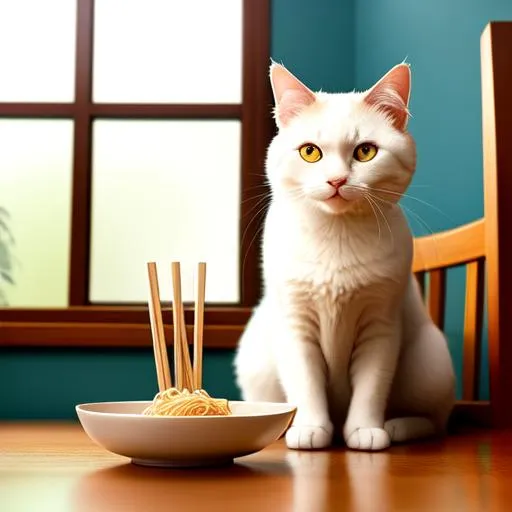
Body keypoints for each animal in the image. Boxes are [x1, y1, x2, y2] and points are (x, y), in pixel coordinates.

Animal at [234, 62, 454, 450]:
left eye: (366, 151)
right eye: (310, 152)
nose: (336, 180)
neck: (337, 237)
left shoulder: (380, 325)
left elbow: (371, 386)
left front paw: (366, 430)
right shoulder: (295, 324)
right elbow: (306, 385)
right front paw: (309, 428)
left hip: (430, 360)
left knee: (435, 420)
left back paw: (398, 427)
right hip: (255, 360)